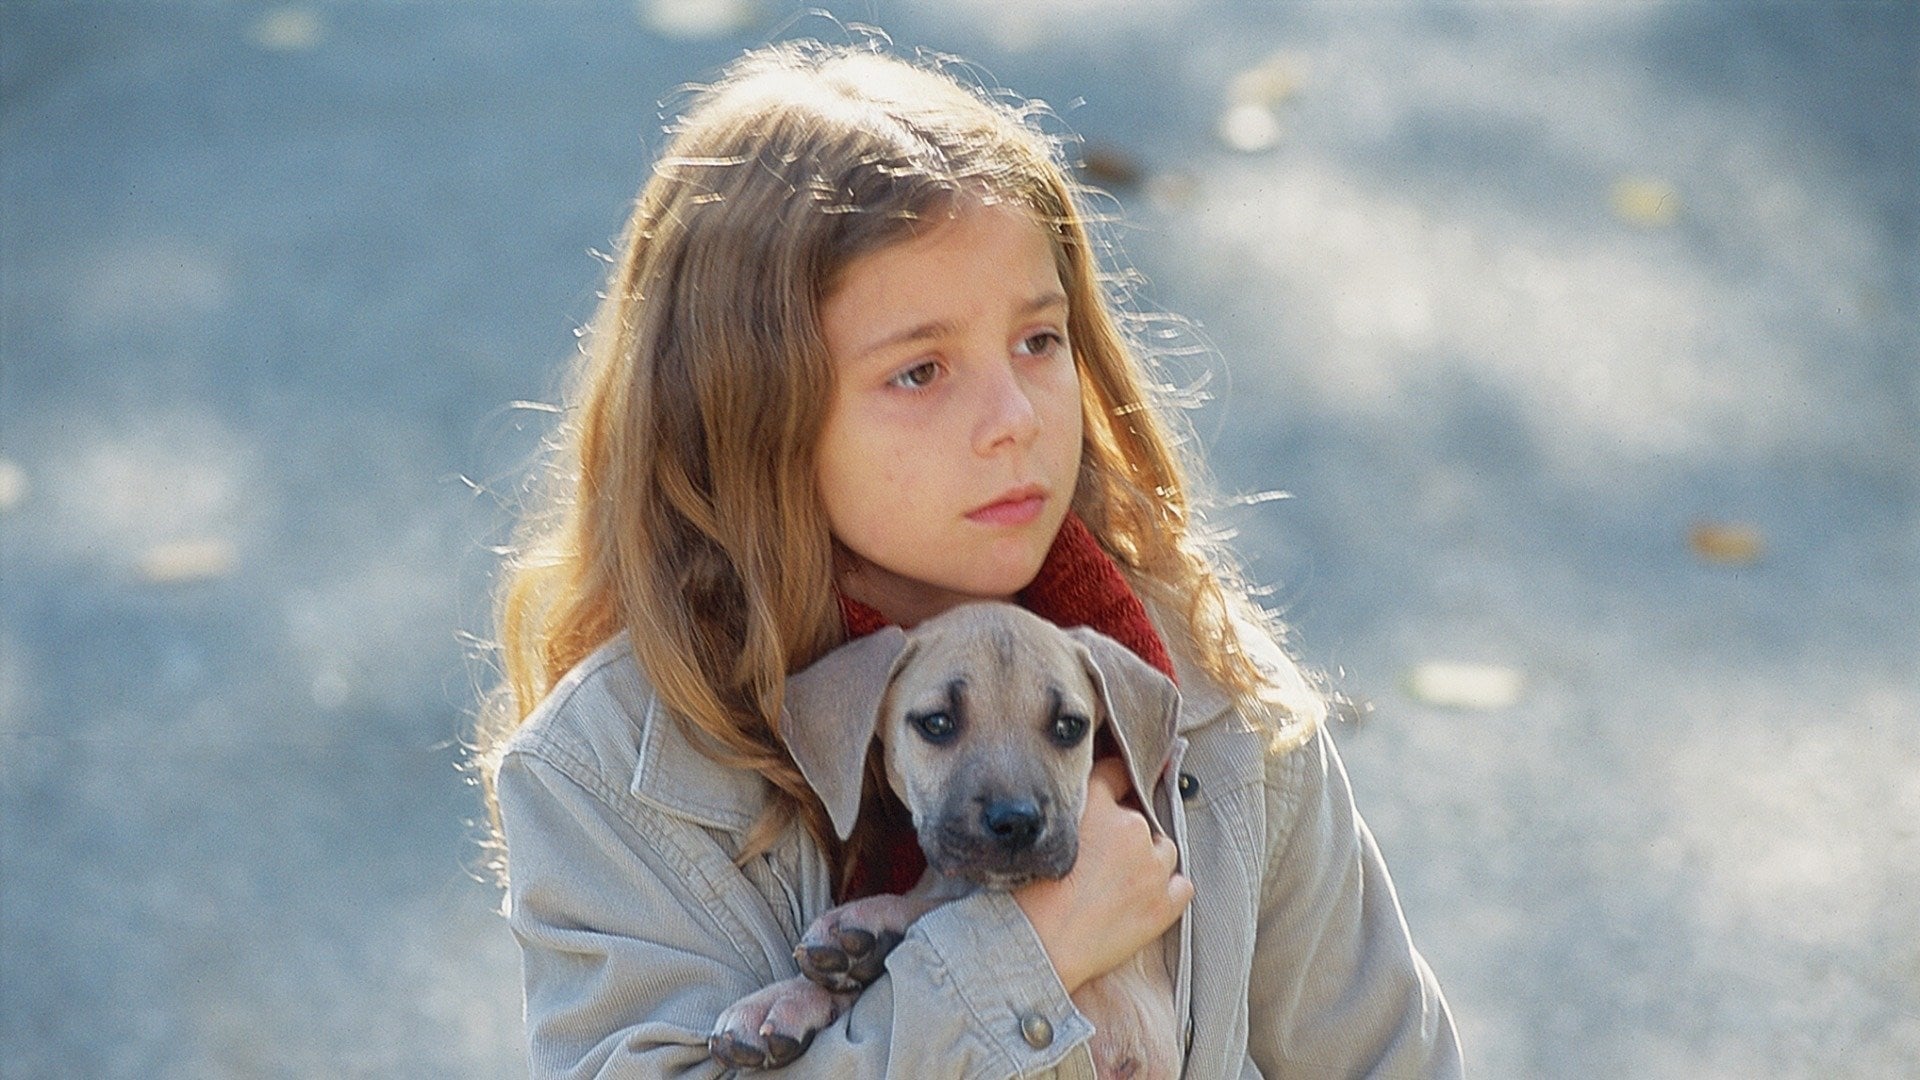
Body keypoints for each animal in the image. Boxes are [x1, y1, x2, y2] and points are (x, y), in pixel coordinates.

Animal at [710, 599, 1182, 1068]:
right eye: (937, 723)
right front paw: (786, 999)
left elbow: (936, 906)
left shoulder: (1140, 1026)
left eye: (1069, 727)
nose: (1017, 823)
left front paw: (867, 924)